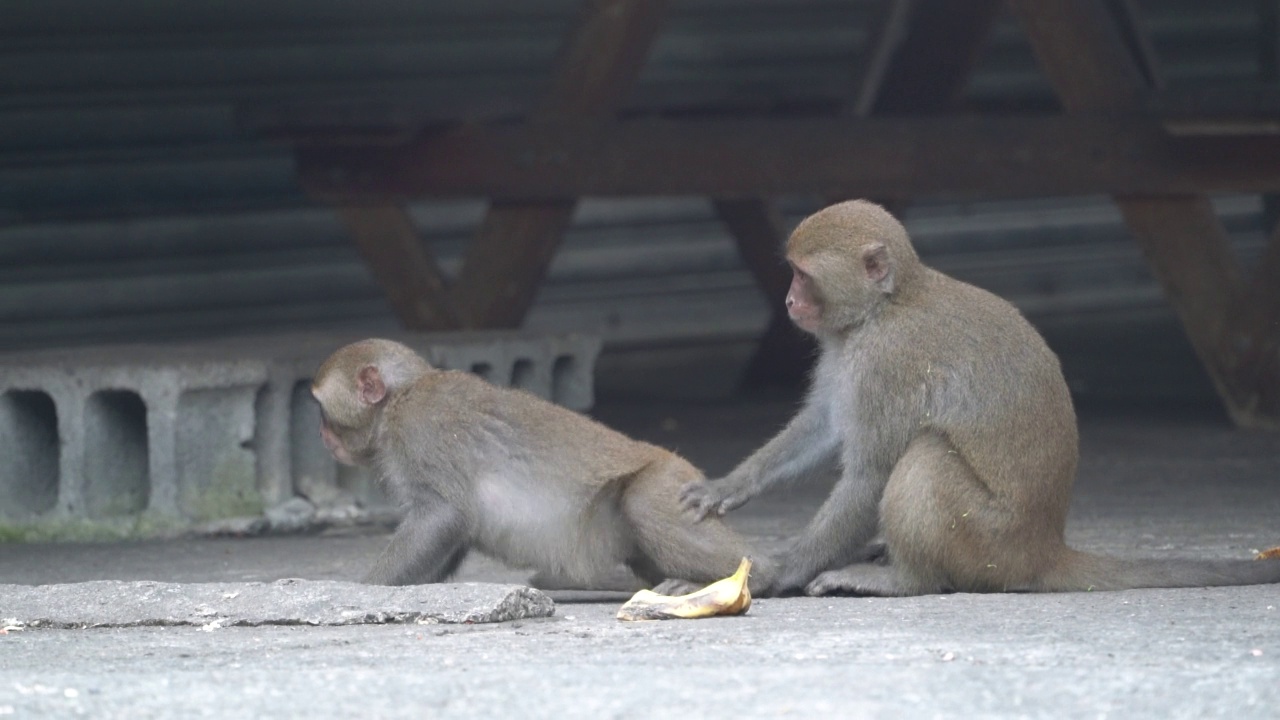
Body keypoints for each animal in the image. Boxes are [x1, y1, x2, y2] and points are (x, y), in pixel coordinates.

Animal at [309, 338, 768, 591]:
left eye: (322, 410)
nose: (322, 436)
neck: (397, 402)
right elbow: (455, 527)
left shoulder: (420, 426)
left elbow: (443, 514)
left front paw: (362, 591)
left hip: (670, 480)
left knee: (640, 502)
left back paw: (758, 577)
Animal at [686, 197, 1280, 594]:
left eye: (803, 276)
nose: (789, 300)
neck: (886, 305)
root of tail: (1043, 548)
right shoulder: (846, 350)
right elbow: (824, 425)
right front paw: (728, 486)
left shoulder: (885, 361)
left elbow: (870, 474)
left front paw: (776, 571)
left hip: (988, 540)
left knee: (925, 455)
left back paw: (909, 579)